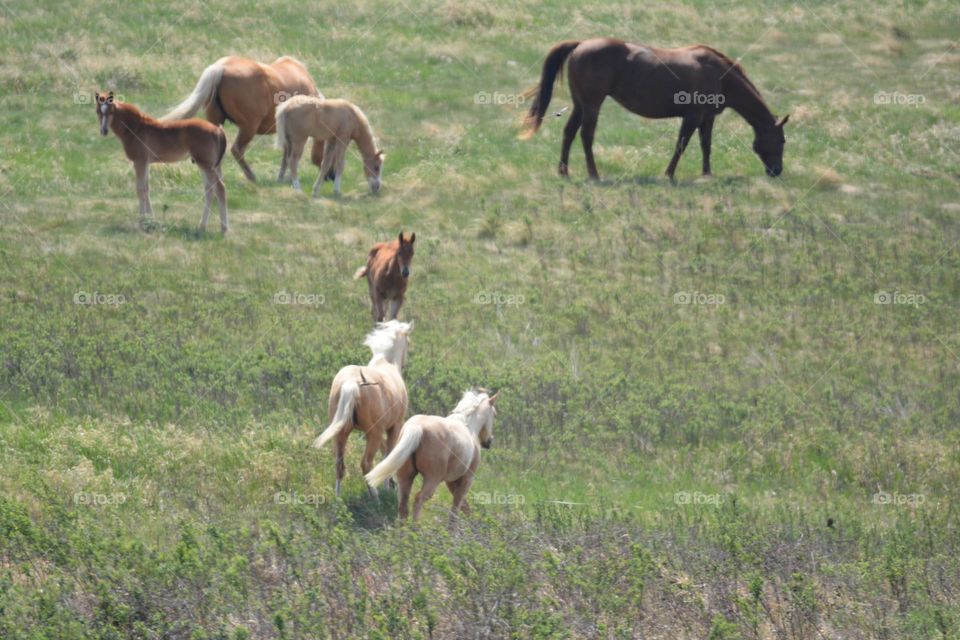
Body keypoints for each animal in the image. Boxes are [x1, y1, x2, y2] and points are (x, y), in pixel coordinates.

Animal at [95, 91, 228, 233]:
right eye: (98, 111)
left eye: (111, 111)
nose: (104, 131)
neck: (136, 128)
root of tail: (218, 129)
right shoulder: (146, 163)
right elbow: (146, 189)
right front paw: (151, 221)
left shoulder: (139, 162)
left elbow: (140, 190)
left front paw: (141, 223)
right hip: (209, 165)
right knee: (210, 190)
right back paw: (202, 227)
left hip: (206, 165)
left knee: (220, 189)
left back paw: (223, 229)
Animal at [160, 56, 328, 183]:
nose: (328, 176)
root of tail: (221, 67)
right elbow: (289, 155)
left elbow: (286, 154)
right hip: (249, 127)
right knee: (237, 150)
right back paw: (251, 176)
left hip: (216, 124)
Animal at [311, 320, 413, 498]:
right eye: (408, 342)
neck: (386, 363)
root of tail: (352, 382)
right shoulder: (394, 426)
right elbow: (388, 454)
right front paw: (388, 487)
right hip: (374, 433)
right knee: (366, 463)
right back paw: (375, 496)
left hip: (341, 432)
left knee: (339, 465)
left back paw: (338, 498)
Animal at [365, 390, 499, 529]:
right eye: (494, 414)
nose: (489, 441)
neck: (468, 427)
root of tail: (417, 427)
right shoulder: (467, 479)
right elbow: (456, 508)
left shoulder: (451, 482)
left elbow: (464, 506)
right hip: (432, 480)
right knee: (418, 499)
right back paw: (415, 530)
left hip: (405, 477)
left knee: (403, 506)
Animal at [521, 38, 789, 181]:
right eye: (782, 140)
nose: (777, 171)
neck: (719, 73)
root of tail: (581, 45)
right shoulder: (692, 116)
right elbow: (681, 145)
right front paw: (669, 174)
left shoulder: (707, 117)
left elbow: (706, 145)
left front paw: (707, 174)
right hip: (592, 105)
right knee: (586, 136)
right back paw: (594, 174)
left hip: (580, 105)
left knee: (568, 133)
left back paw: (564, 172)